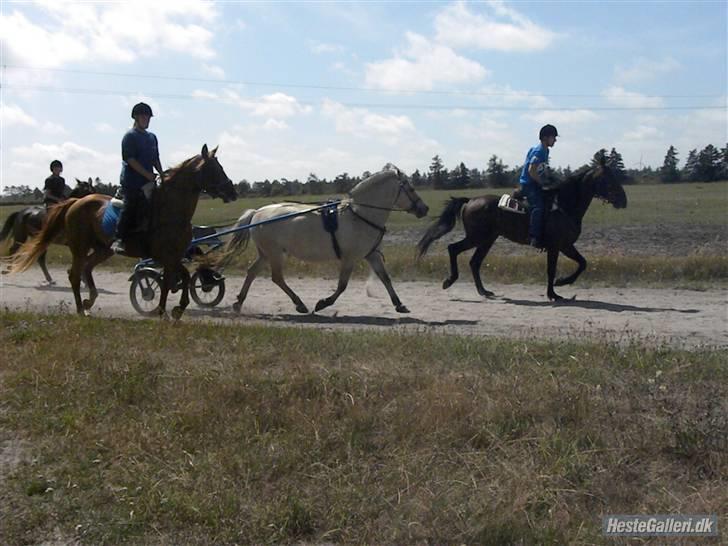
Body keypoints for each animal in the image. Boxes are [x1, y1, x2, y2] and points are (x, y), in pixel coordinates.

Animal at [7, 144, 236, 316]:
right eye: (214, 169)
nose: (232, 192)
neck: (170, 210)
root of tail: (75, 202)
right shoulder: (164, 256)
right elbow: (168, 280)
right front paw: (163, 309)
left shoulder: (175, 255)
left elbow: (183, 277)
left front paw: (176, 309)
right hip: (79, 247)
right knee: (74, 274)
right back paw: (81, 308)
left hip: (102, 249)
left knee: (86, 268)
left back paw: (89, 301)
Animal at [222, 165, 426, 310]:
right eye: (411, 188)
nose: (424, 209)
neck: (359, 215)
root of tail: (257, 212)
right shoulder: (349, 258)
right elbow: (342, 285)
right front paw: (323, 303)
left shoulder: (372, 254)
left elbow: (385, 278)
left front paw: (399, 304)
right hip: (275, 253)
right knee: (277, 278)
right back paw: (299, 304)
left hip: (266, 253)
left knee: (252, 272)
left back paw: (239, 301)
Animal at [418, 164, 628, 300]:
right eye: (609, 179)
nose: (624, 200)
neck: (563, 206)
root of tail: (471, 200)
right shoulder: (557, 246)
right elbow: (553, 269)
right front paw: (555, 291)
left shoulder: (566, 245)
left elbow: (583, 263)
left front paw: (560, 284)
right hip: (477, 237)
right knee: (453, 249)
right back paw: (449, 280)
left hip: (487, 239)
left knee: (474, 262)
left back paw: (484, 291)